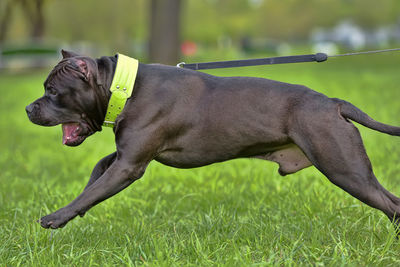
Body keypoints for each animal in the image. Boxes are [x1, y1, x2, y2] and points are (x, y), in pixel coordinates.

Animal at [27, 50, 400, 232]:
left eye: (53, 91)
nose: (29, 108)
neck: (124, 88)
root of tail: (334, 103)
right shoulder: (125, 157)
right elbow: (95, 175)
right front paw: (78, 205)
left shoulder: (130, 165)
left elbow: (93, 191)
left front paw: (57, 217)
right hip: (350, 168)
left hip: (344, 169)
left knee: (391, 205)